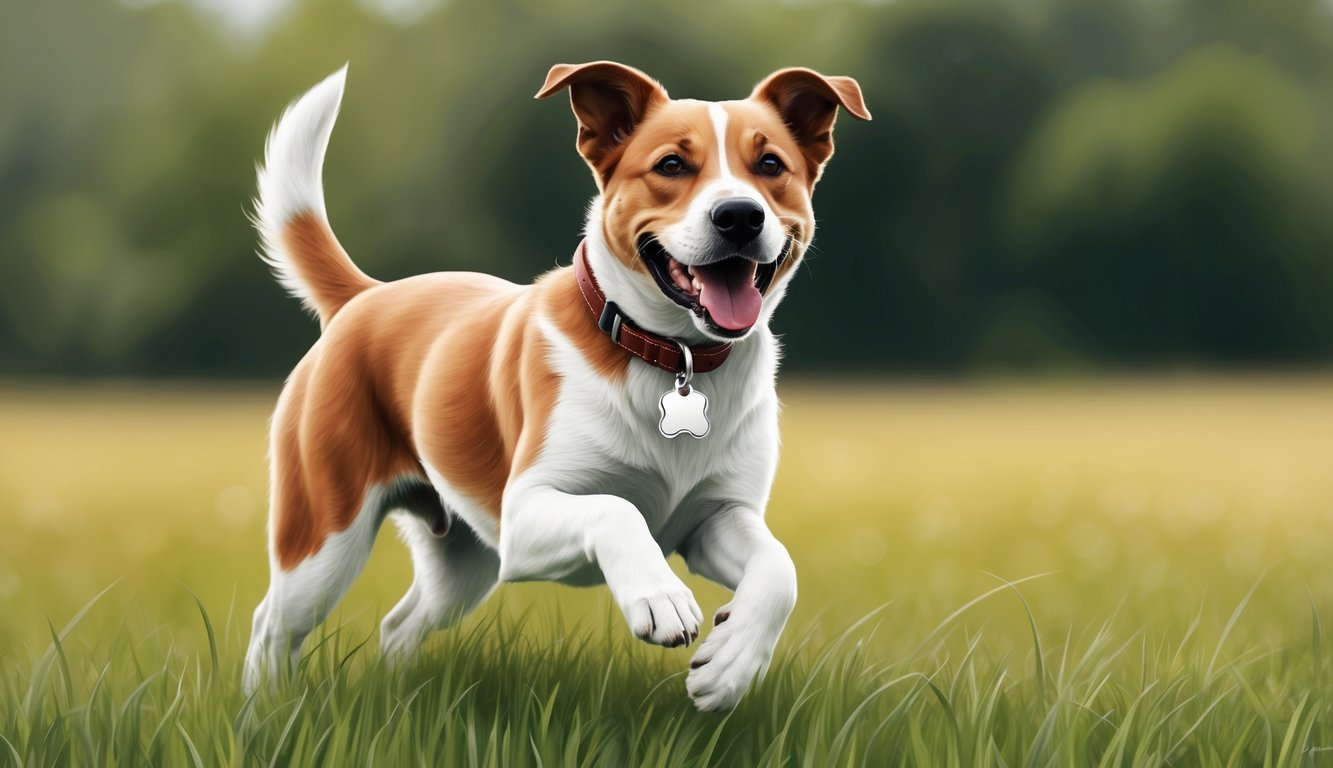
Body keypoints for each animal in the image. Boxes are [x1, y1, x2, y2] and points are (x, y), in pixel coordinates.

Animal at [243, 61, 869, 714]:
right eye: (671, 165)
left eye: (771, 164)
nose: (740, 216)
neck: (675, 357)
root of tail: (366, 295)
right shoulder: (524, 515)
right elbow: (617, 508)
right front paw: (661, 598)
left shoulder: (717, 516)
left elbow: (780, 568)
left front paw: (731, 664)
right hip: (325, 539)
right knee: (273, 626)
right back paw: (265, 716)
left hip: (462, 562)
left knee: (399, 625)